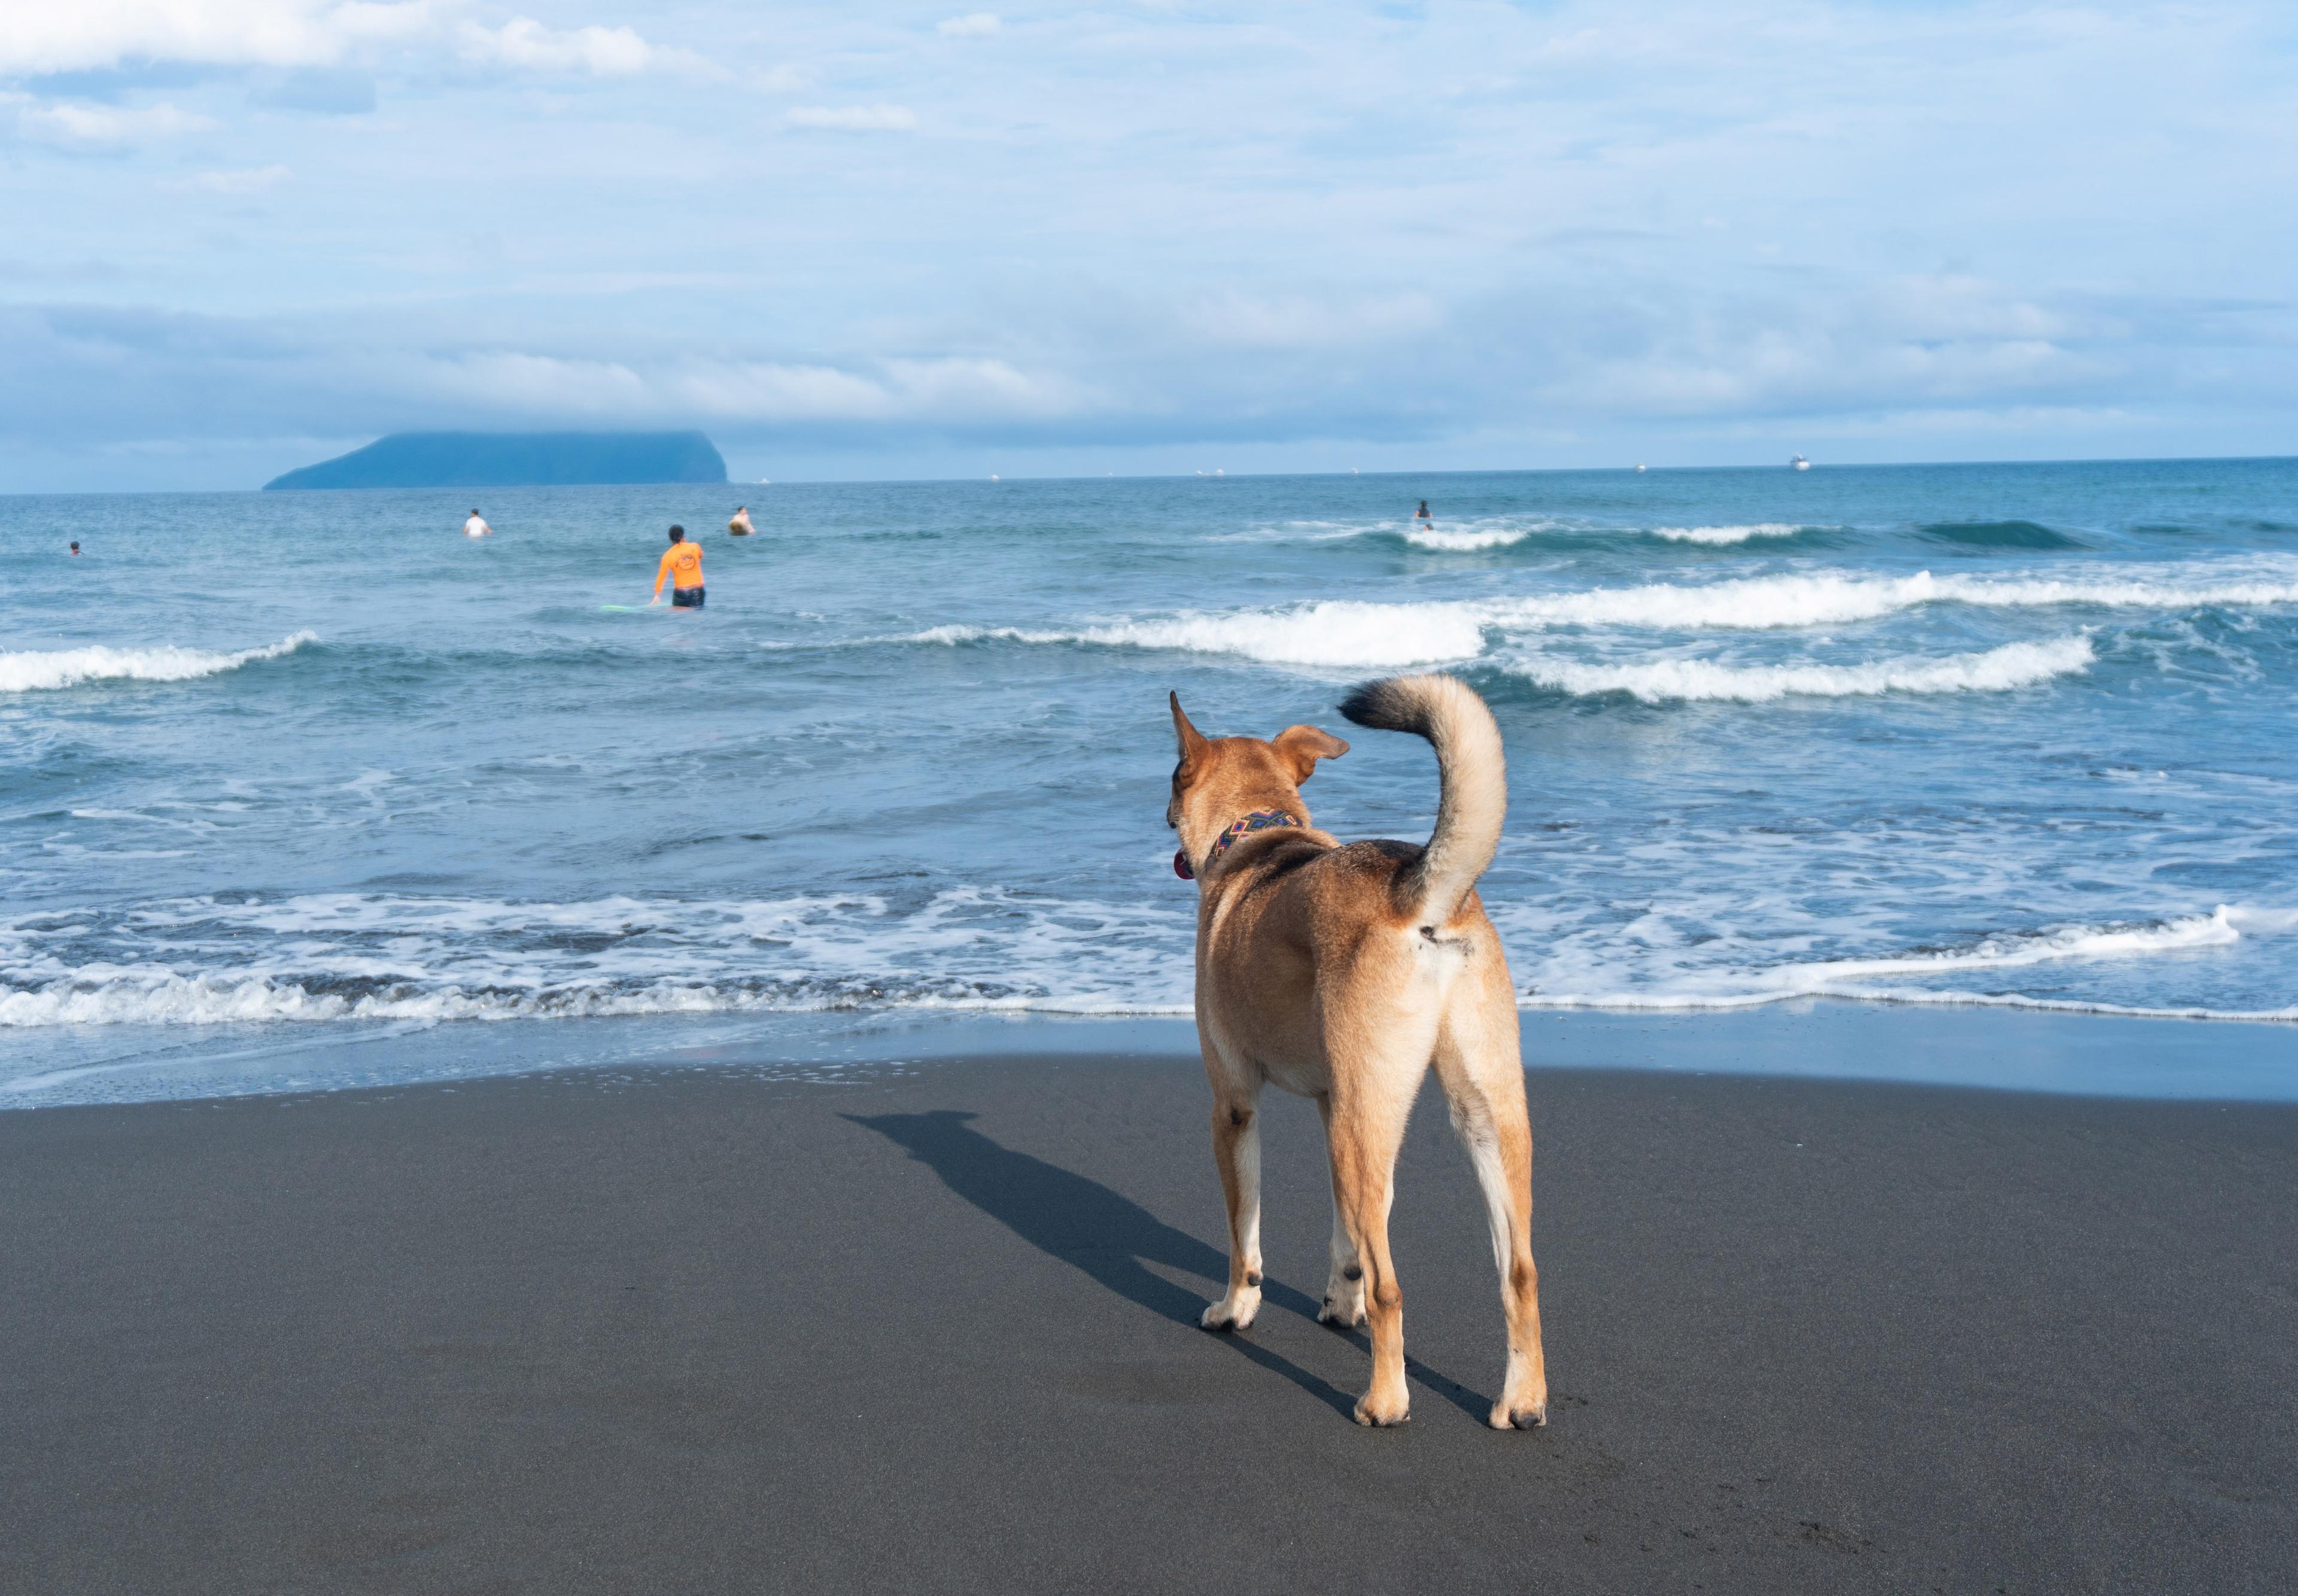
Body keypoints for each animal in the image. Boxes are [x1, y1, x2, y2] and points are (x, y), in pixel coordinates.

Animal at [1167, 665, 1544, 1433]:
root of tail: (1418, 895)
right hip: (1474, 1118)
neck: (1260, 833)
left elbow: (1244, 1237)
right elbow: (1347, 1235)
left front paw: (1235, 1309)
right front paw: (1342, 1302)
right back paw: (1522, 1401)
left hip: (1359, 1124)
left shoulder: (1236, 1108)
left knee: (1393, 1288)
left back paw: (1385, 1400)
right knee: (1519, 1272)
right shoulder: (1335, 1102)